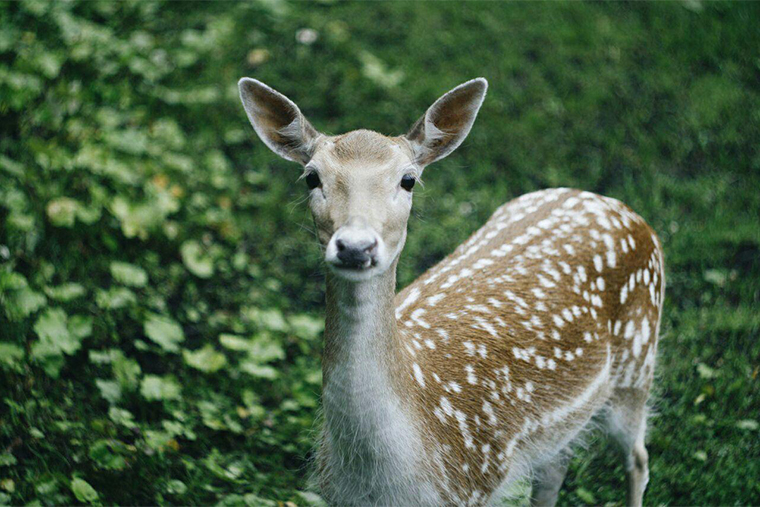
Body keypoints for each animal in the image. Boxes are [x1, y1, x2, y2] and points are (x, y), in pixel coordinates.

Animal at [239, 76, 664, 507]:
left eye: (408, 179)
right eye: (312, 176)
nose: (356, 247)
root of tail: (620, 208)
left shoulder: (473, 485)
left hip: (637, 365)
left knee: (638, 458)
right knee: (555, 469)